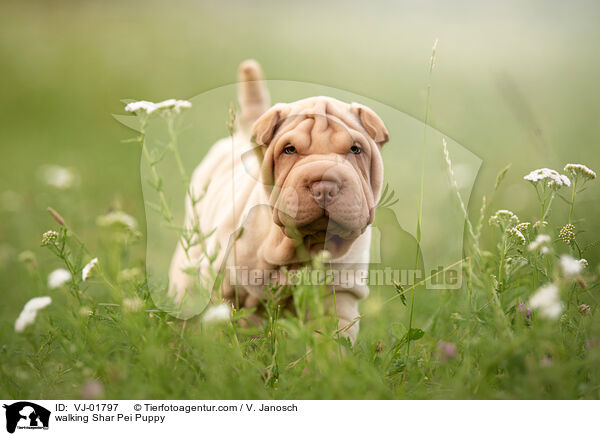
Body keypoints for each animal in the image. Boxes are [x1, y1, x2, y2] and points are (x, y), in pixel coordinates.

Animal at [169, 59, 390, 342]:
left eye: (355, 149)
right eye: (289, 150)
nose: (325, 186)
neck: (300, 247)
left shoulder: (339, 295)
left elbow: (332, 338)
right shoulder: (224, 286)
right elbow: (223, 327)